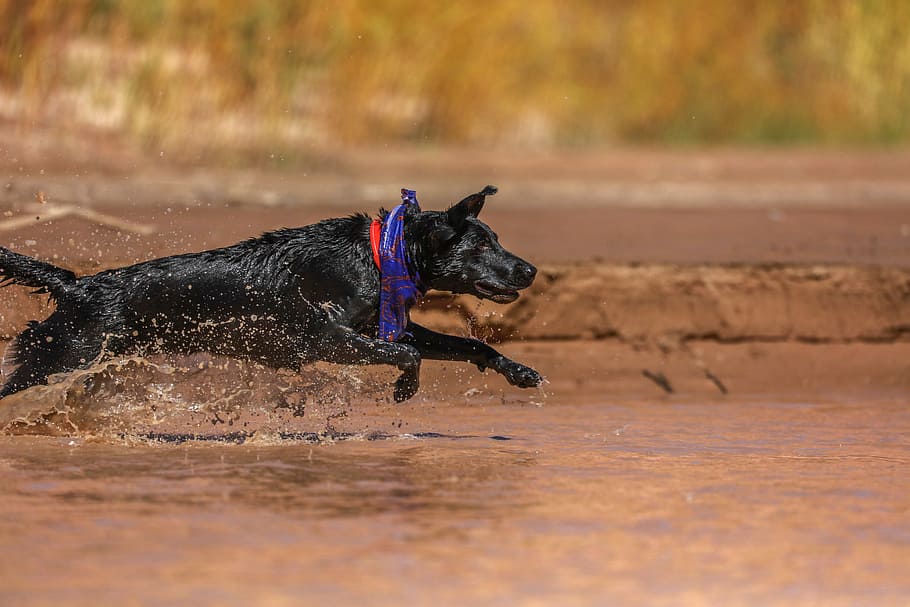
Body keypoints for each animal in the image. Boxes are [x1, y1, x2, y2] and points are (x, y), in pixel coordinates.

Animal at [0, 186, 540, 404]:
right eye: (482, 244)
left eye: (494, 238)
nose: (531, 269)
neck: (378, 254)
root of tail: (78, 284)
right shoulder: (325, 339)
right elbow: (408, 354)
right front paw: (405, 388)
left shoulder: (376, 327)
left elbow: (468, 344)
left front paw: (518, 371)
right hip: (63, 355)